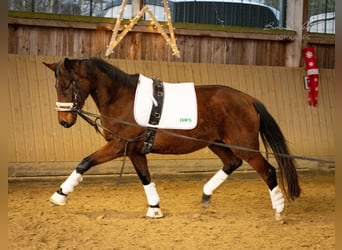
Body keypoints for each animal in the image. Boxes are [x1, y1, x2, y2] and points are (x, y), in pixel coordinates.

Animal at [44, 57, 300, 222]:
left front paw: (59, 196)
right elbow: (145, 177)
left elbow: (84, 162)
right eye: (55, 85)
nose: (64, 121)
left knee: (267, 170)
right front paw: (155, 209)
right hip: (217, 143)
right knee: (231, 163)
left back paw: (278, 211)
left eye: (67, 85)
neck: (123, 99)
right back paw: (206, 194)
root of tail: (248, 99)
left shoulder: (118, 145)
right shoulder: (134, 151)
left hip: (244, 146)